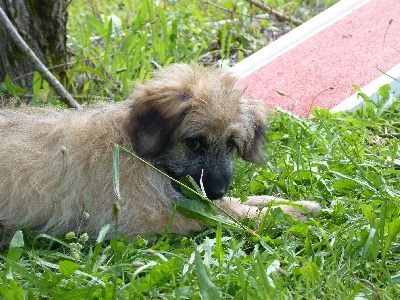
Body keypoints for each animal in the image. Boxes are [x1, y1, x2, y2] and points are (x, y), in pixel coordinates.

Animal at [0, 63, 318, 239]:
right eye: (195, 142)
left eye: (230, 144)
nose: (217, 190)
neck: (141, 153)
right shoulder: (151, 219)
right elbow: (224, 213)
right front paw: (286, 214)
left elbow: (239, 202)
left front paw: (292, 204)